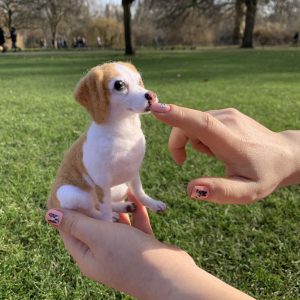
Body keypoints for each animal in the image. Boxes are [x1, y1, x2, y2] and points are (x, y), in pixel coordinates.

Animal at [48, 62, 168, 221]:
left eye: (139, 81)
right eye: (119, 85)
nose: (152, 95)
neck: (124, 131)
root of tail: (50, 203)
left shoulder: (133, 173)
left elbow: (139, 191)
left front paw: (152, 203)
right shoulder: (102, 186)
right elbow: (105, 211)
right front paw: (109, 221)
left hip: (120, 188)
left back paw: (123, 207)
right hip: (73, 194)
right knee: (92, 210)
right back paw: (112, 215)